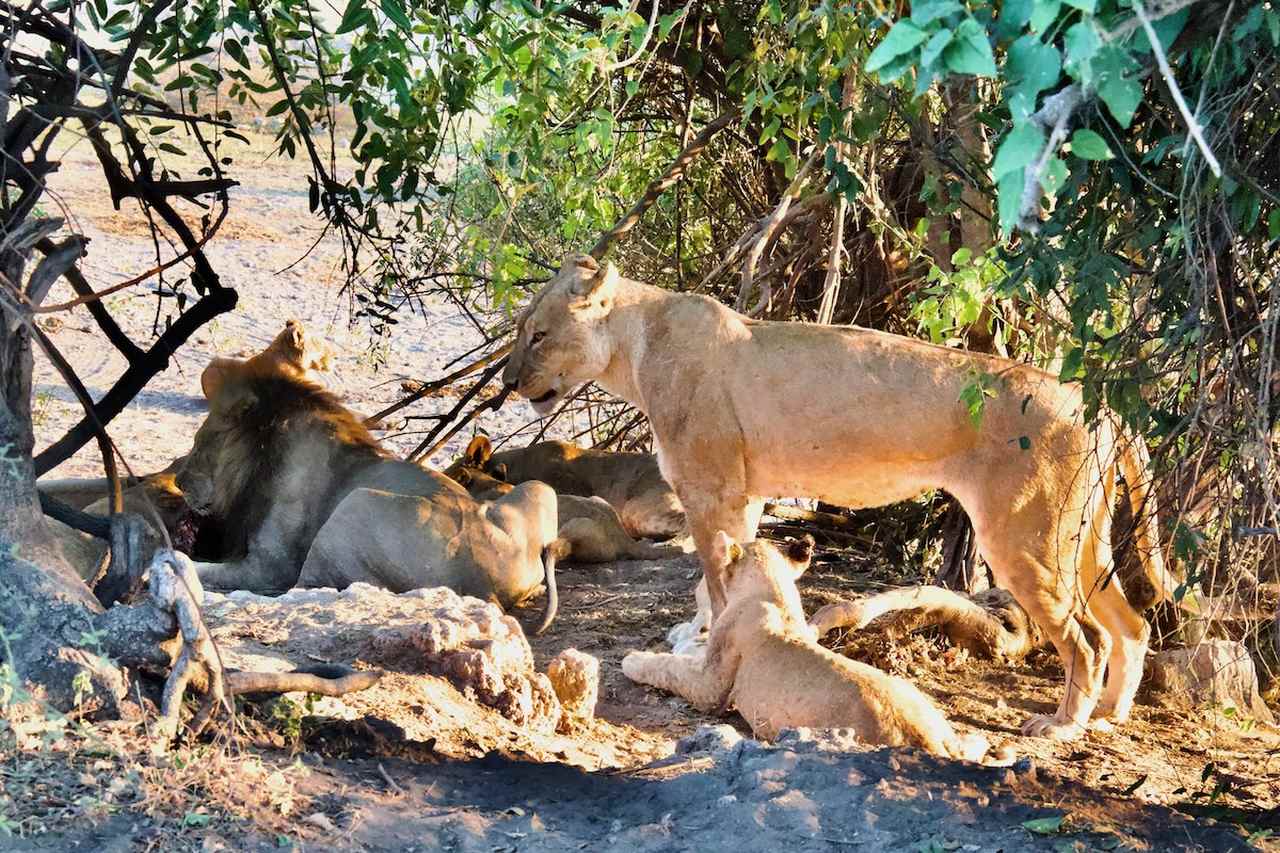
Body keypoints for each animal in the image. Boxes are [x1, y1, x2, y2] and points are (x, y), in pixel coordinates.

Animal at [619, 532, 988, 758]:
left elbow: (669, 668)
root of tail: (932, 743)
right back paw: (975, 740)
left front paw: (634, 659)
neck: (773, 591)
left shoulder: (711, 686)